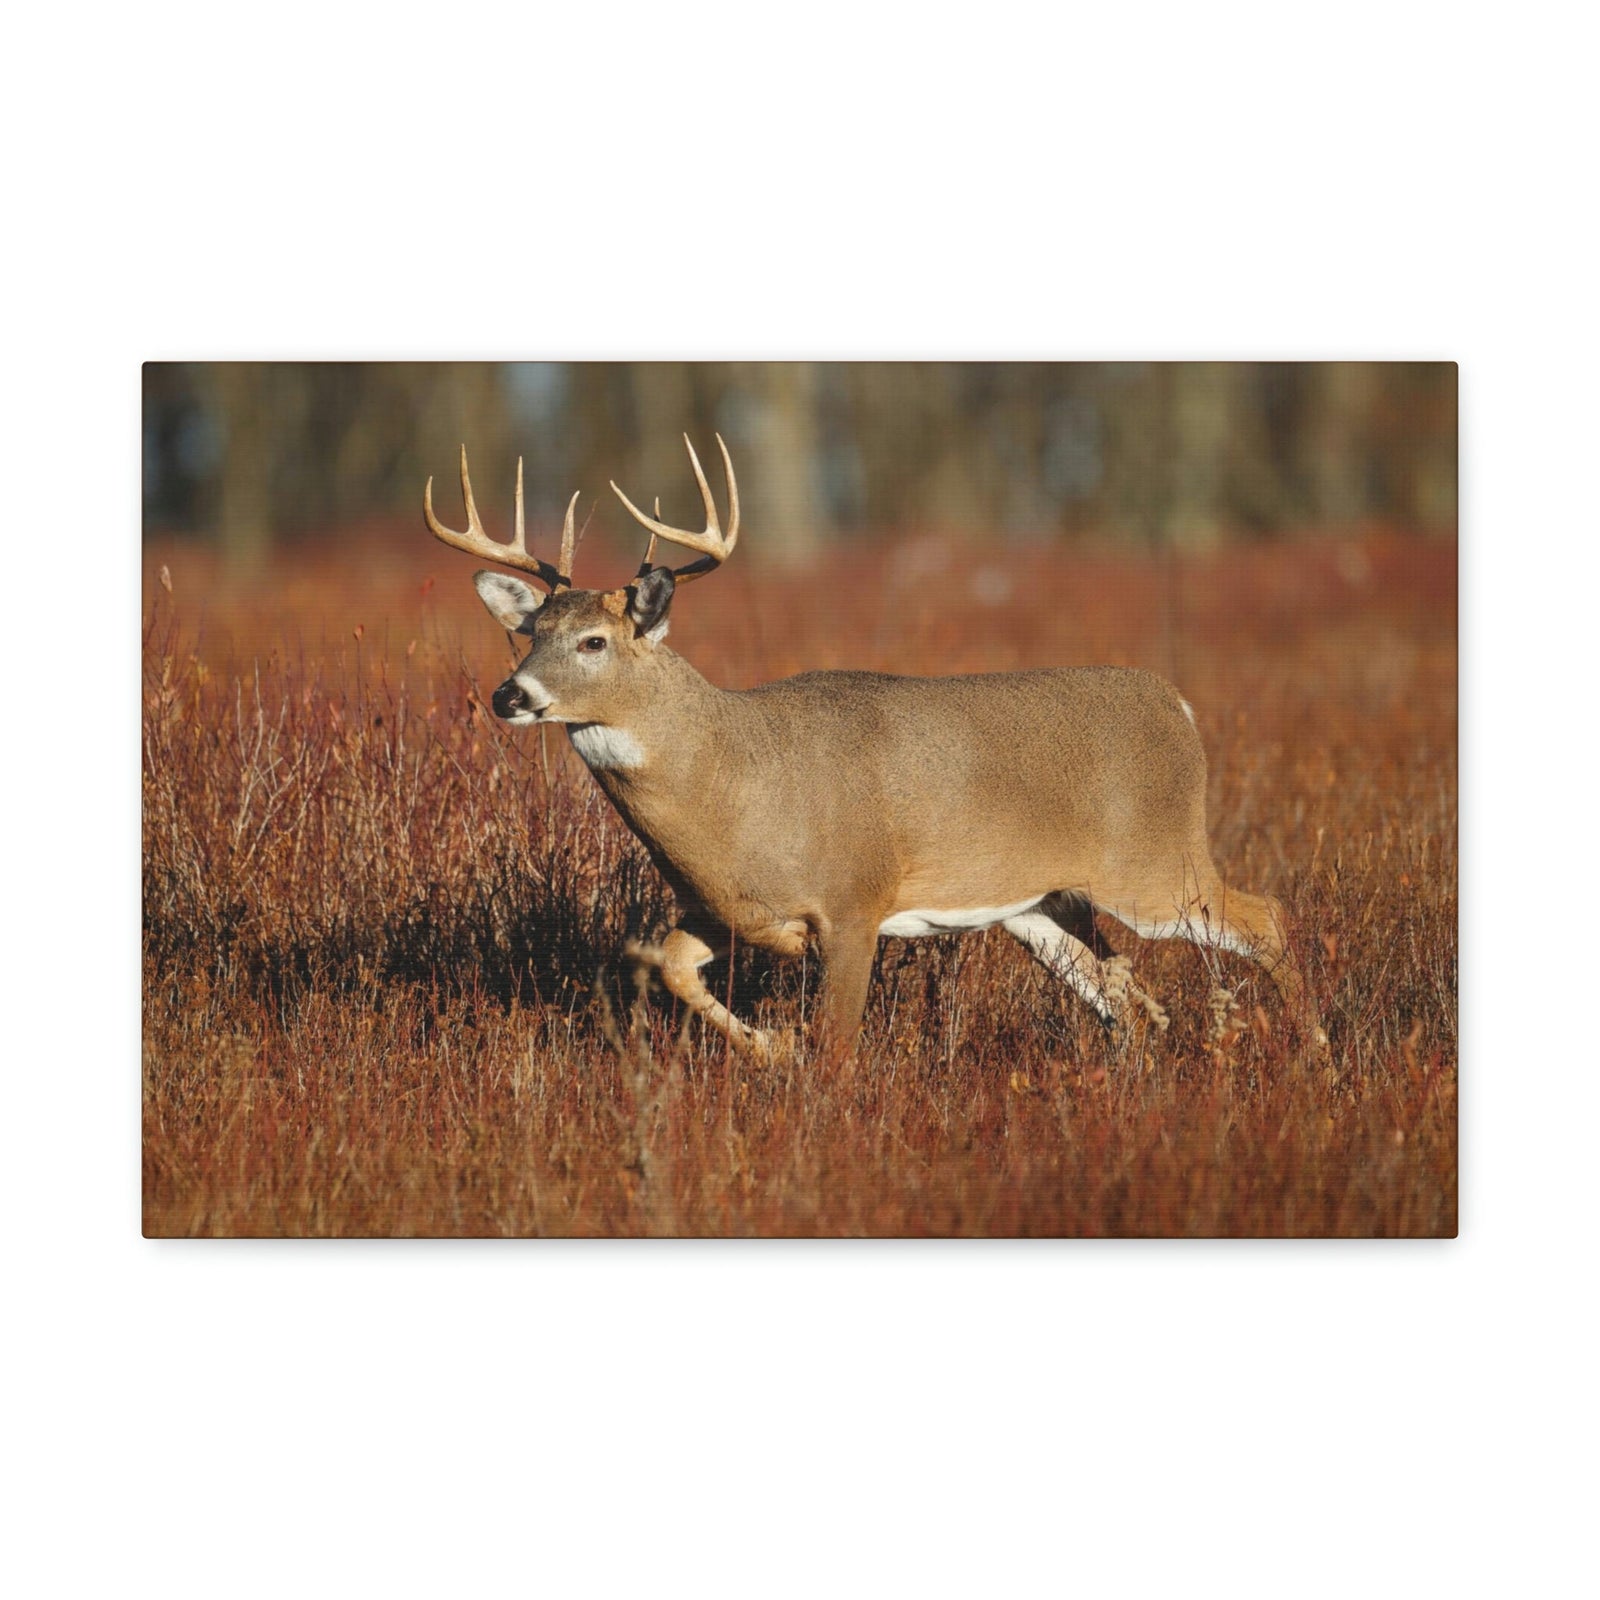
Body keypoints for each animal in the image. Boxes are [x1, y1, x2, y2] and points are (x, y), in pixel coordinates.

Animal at [425, 436, 1320, 1066]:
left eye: (594, 641)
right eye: (528, 632)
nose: (509, 696)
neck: (734, 782)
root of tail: (1178, 704)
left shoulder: (854, 902)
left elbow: (840, 1049)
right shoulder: (723, 908)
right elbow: (664, 964)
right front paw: (773, 1049)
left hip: (1155, 865)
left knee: (1265, 917)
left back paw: (1317, 1055)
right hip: (1040, 904)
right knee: (1121, 990)